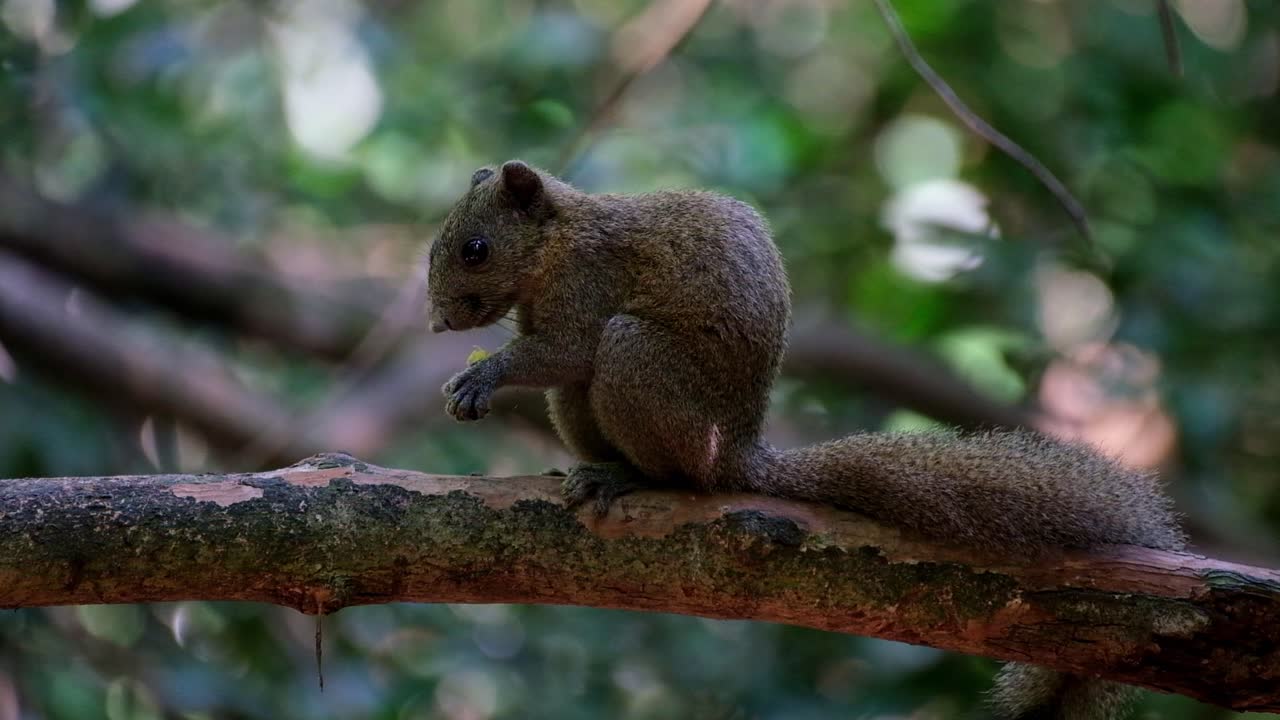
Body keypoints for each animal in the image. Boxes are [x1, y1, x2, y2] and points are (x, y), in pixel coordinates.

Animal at [425, 160, 1186, 720]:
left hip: (638, 360)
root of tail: (737, 452)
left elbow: (567, 349)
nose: (437, 323)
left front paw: (483, 375)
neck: (557, 241)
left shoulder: (589, 283)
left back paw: (632, 476)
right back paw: (592, 469)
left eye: (475, 249)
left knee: (675, 464)